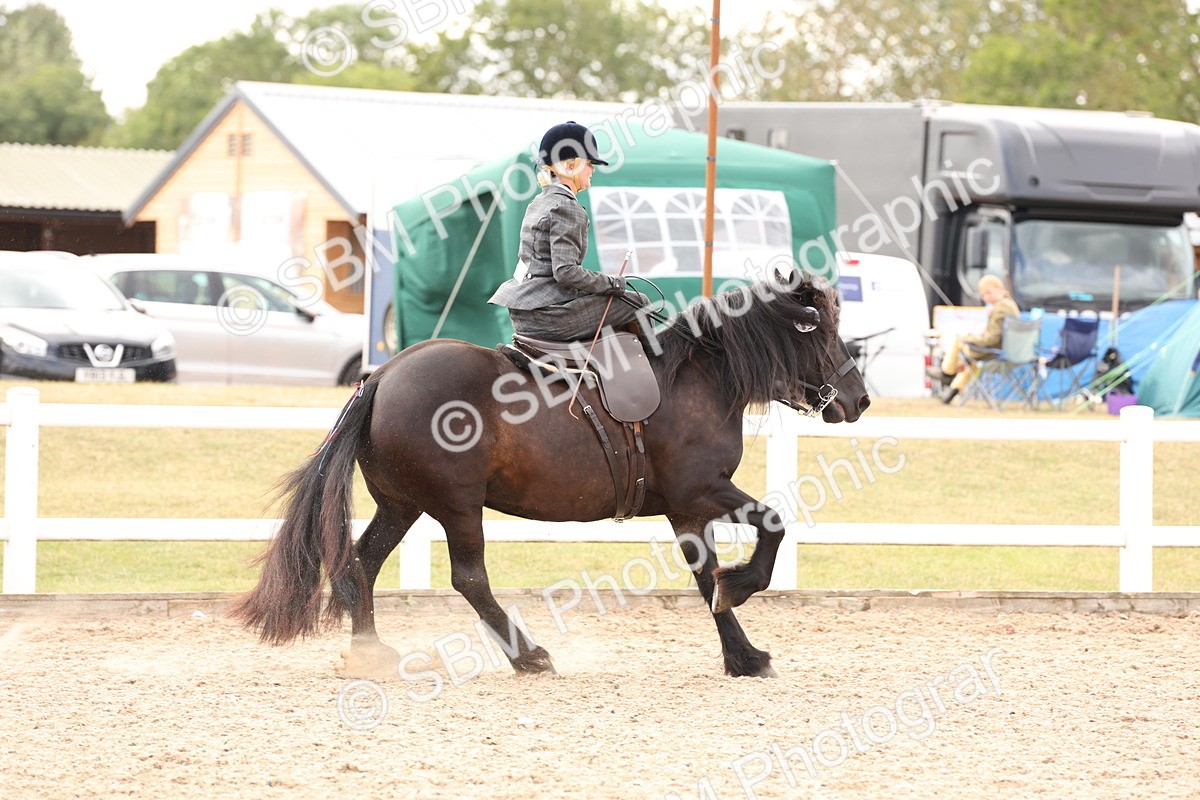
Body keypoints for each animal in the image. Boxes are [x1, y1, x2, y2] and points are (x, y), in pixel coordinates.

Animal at [230, 271, 870, 678]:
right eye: (823, 331)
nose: (860, 399)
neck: (701, 377)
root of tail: (384, 373)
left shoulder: (687, 509)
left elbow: (703, 574)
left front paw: (742, 654)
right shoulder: (702, 490)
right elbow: (772, 525)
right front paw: (739, 587)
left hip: (401, 504)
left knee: (362, 563)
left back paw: (372, 653)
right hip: (456, 506)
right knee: (469, 579)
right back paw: (528, 655)